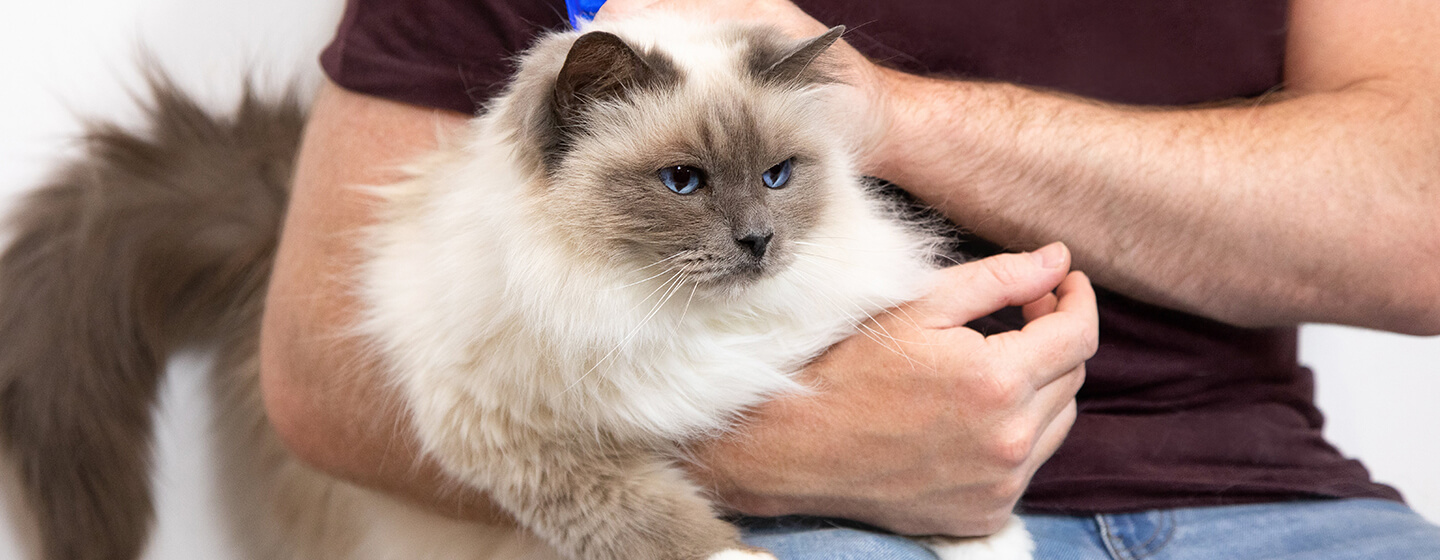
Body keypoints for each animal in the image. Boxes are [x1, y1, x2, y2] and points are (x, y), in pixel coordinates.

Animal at [0, 13, 1036, 558]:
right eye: (684, 182)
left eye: (779, 176)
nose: (758, 243)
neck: (664, 314)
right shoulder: (527, 445)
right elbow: (679, 532)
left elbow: (953, 507)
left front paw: (995, 544)